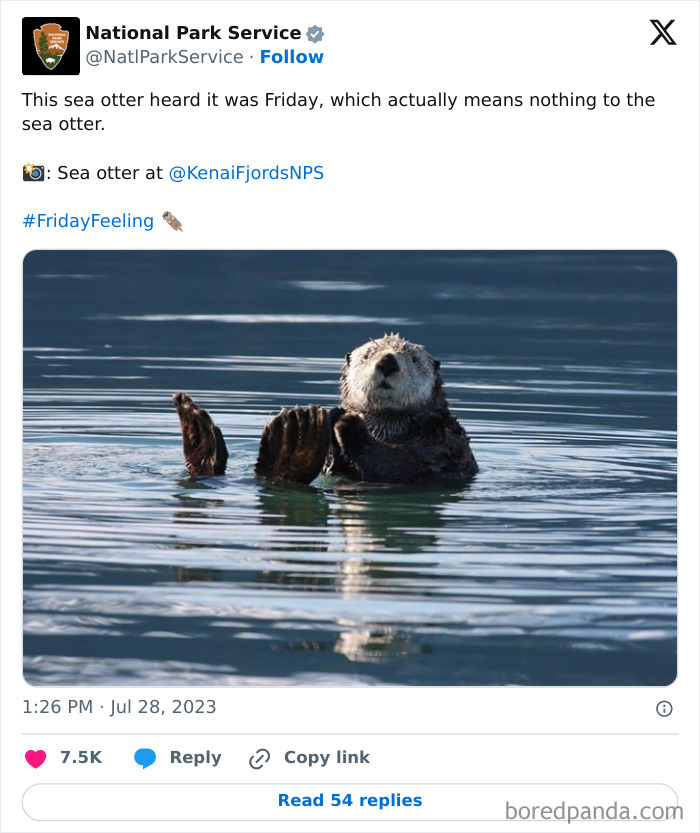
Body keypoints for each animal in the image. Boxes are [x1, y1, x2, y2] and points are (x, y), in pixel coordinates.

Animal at [173, 335, 478, 485]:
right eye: (368, 355)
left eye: (413, 358)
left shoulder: (445, 442)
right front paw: (338, 415)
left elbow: (403, 465)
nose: (388, 361)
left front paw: (349, 423)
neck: (386, 426)